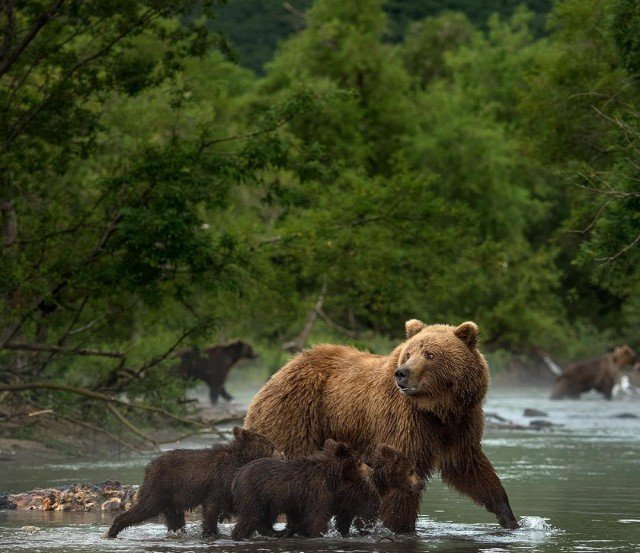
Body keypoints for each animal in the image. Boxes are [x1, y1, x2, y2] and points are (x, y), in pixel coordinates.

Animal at [105, 426, 278, 540]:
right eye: (265, 441)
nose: (277, 448)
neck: (241, 460)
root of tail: (149, 467)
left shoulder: (232, 484)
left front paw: (267, 528)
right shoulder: (219, 481)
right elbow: (212, 506)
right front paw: (210, 533)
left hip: (172, 499)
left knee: (175, 520)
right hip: (160, 487)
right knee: (145, 508)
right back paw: (112, 531)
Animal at [245, 320, 520, 532]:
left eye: (430, 354)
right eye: (409, 353)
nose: (403, 373)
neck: (436, 409)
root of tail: (282, 370)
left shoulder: (461, 424)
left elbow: (468, 467)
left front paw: (509, 517)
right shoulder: (404, 422)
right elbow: (401, 476)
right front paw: (401, 527)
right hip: (296, 415)